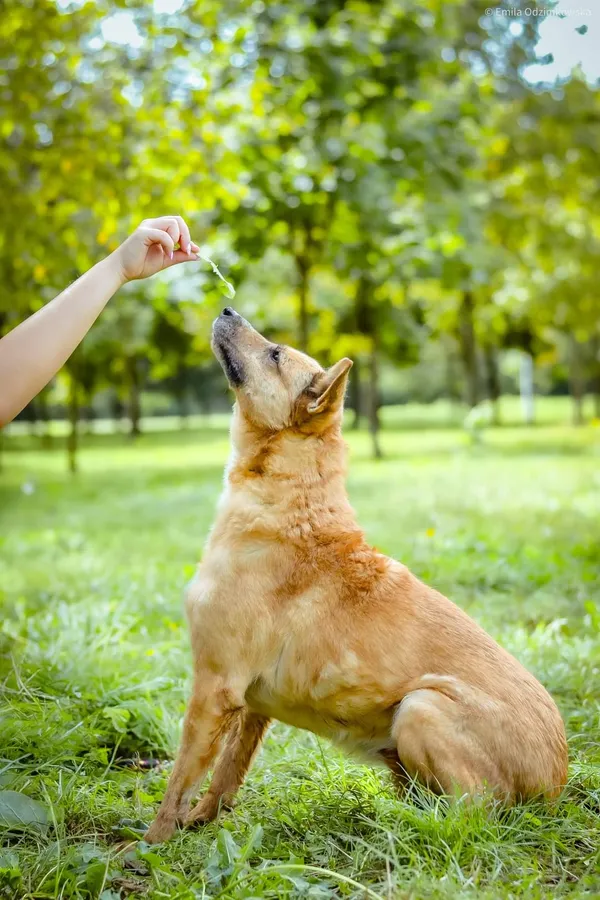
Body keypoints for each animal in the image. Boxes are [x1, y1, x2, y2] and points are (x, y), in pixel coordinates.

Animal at [144, 308, 568, 844]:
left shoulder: (214, 688)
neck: (289, 502)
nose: (227, 310)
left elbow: (180, 779)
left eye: (275, 354)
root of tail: (555, 788)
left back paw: (400, 823)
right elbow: (226, 774)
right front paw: (202, 821)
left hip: (420, 708)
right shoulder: (251, 705)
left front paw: (149, 847)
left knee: (472, 815)